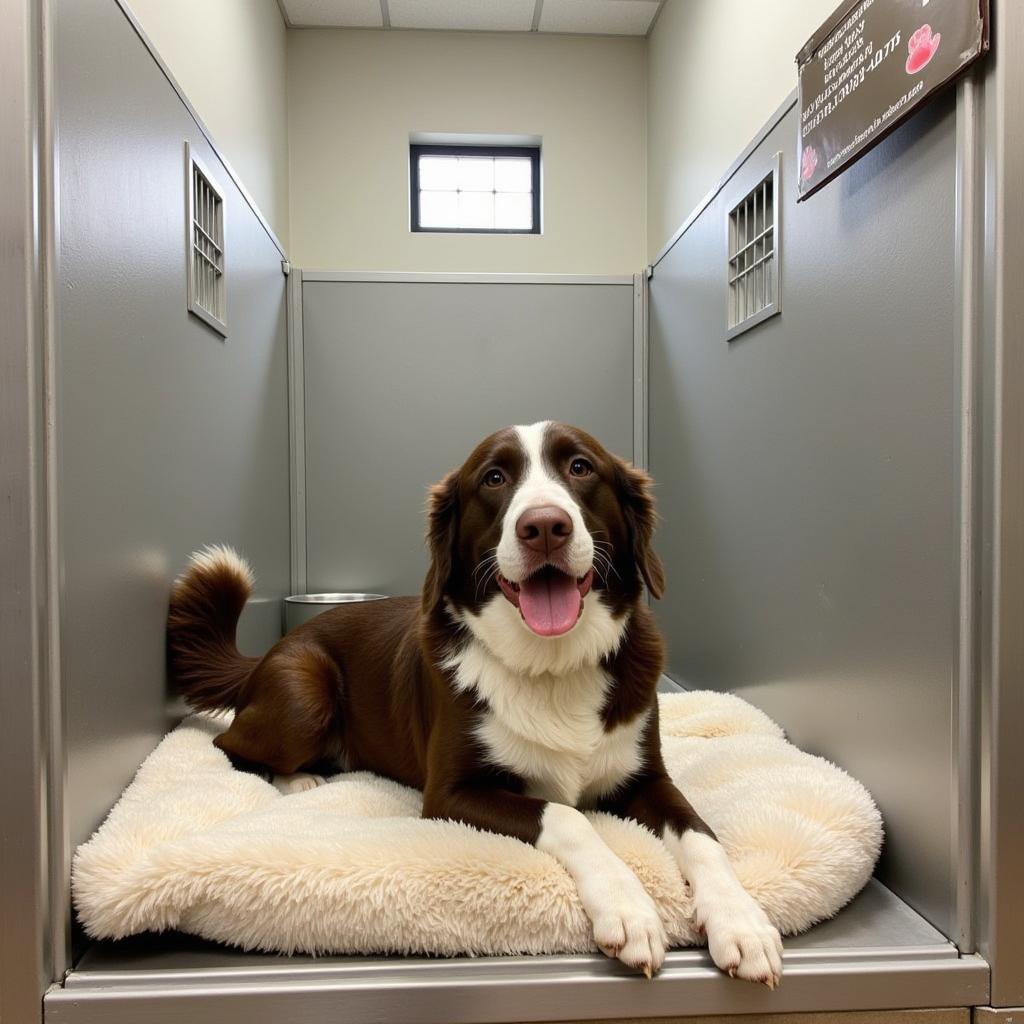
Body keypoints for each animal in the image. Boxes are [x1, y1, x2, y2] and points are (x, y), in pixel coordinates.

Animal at [167, 421, 778, 983]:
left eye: (581, 467)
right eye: (494, 478)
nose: (544, 527)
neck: (551, 664)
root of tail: (267, 654)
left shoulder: (646, 776)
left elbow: (701, 835)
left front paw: (743, 922)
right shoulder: (451, 793)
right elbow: (566, 815)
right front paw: (628, 908)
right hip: (304, 689)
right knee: (229, 745)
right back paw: (299, 778)